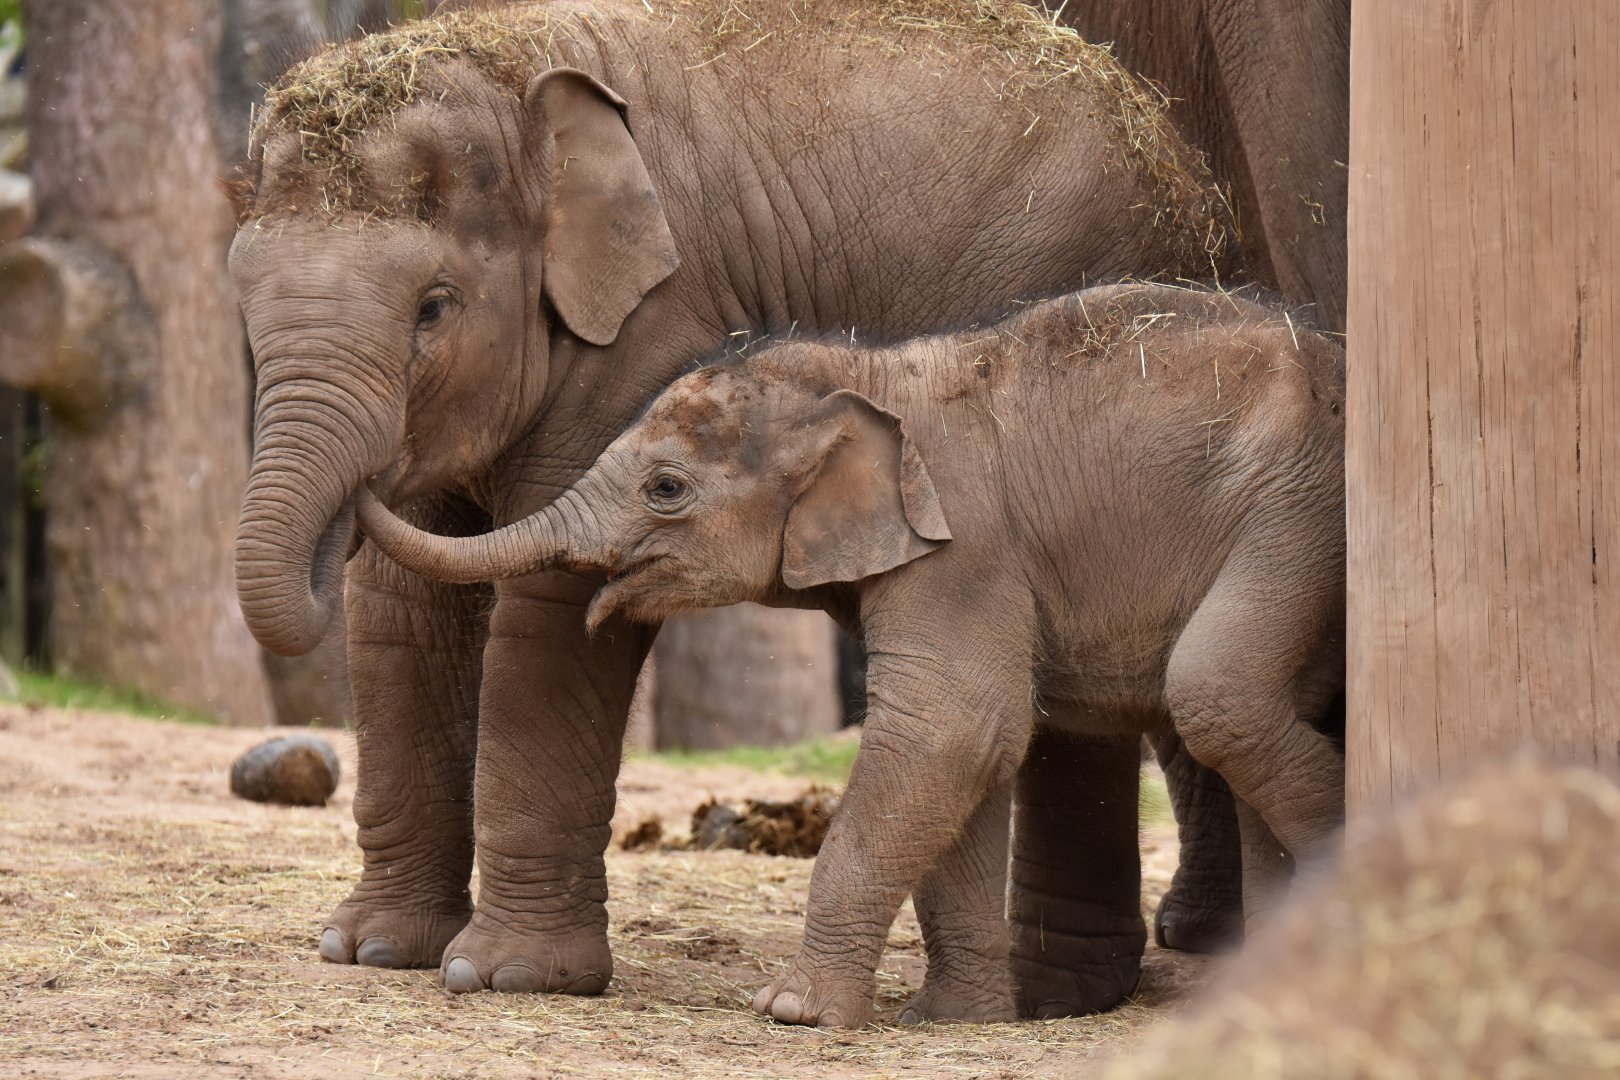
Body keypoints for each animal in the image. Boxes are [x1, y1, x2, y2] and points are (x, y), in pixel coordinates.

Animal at [229, 0, 1242, 1011]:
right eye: (244, 306)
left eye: (433, 309)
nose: (363, 490)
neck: (511, 67)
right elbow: (402, 609)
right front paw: (370, 950)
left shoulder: (648, 330)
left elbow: (552, 607)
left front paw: (507, 974)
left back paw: (1063, 997)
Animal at [354, 281, 1350, 1027]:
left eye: (666, 489)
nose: (378, 472)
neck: (871, 376)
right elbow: (971, 756)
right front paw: (952, 1019)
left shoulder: (965, 550)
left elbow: (953, 727)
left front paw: (792, 1012)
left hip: (1298, 512)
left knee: (1217, 696)